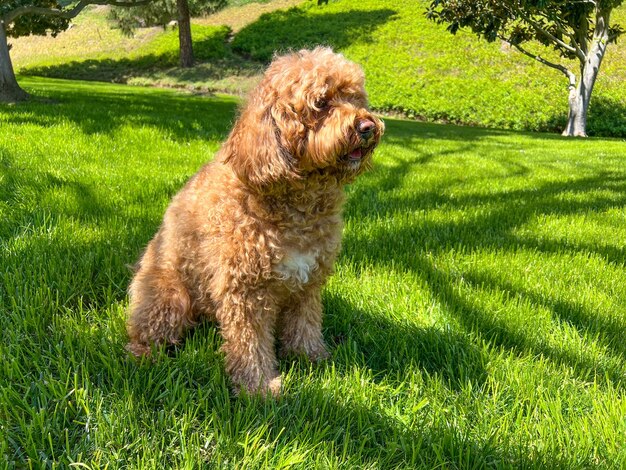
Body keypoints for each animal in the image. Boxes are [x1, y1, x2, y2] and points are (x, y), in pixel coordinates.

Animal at [125, 46, 382, 392]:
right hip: (169, 296)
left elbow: (305, 324)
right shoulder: (245, 290)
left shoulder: (308, 283)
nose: (368, 126)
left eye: (355, 98)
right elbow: (250, 343)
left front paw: (312, 358)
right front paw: (258, 387)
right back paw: (145, 357)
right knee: (145, 334)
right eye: (321, 103)